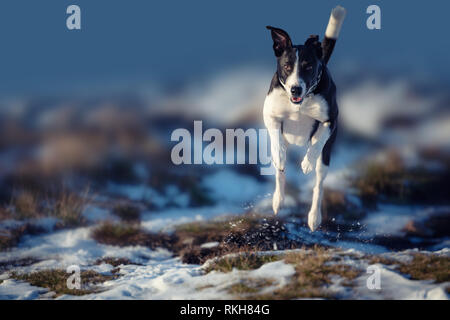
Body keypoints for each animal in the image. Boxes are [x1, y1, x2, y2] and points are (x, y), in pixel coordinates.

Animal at [266, 5, 346, 230]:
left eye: (308, 66)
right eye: (286, 66)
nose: (295, 88)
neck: (300, 103)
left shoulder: (331, 120)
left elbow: (318, 139)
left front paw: (307, 162)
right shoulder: (270, 113)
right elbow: (276, 139)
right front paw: (280, 154)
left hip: (326, 158)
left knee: (319, 185)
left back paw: (314, 217)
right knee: (280, 173)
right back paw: (278, 200)